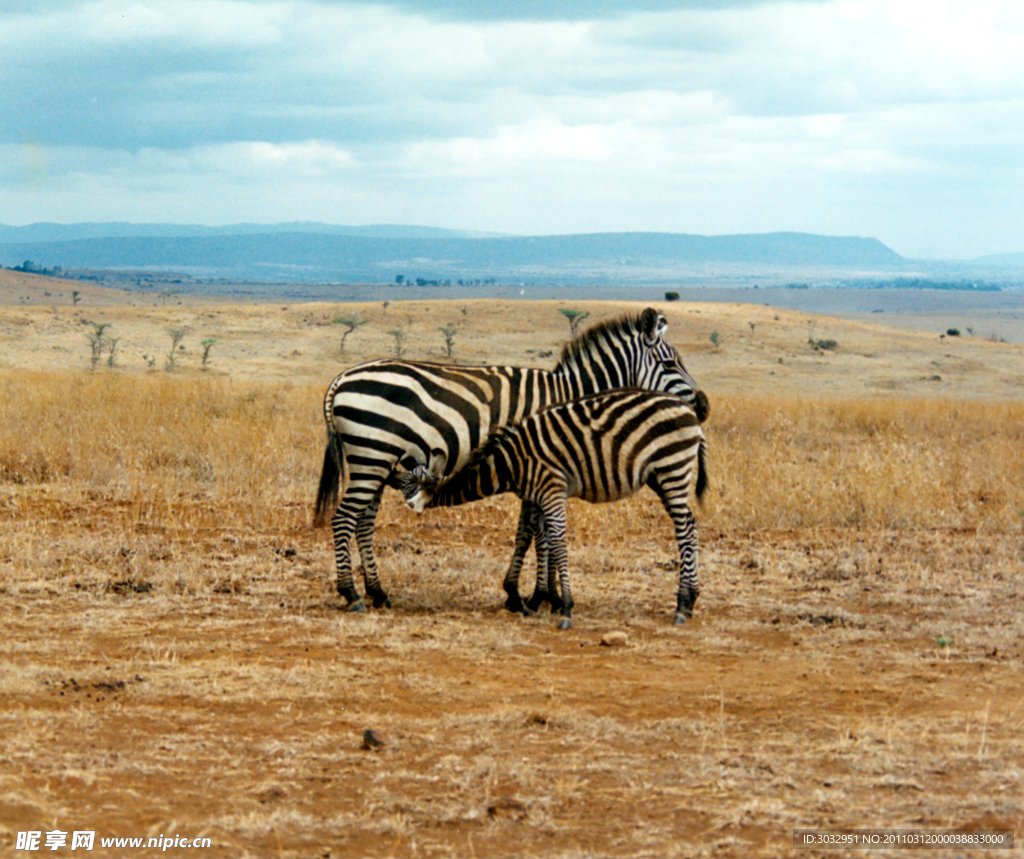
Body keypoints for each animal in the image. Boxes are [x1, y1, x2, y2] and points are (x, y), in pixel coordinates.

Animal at [399, 387, 704, 626]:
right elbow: (531, 537)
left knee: (683, 529)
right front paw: (534, 598)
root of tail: (688, 408)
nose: (407, 504)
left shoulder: (551, 489)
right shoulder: (536, 495)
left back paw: (681, 605)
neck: (511, 464)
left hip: (673, 469)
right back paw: (691, 598)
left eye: (412, 481)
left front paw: (563, 606)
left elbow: (555, 540)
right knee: (691, 524)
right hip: (660, 477)